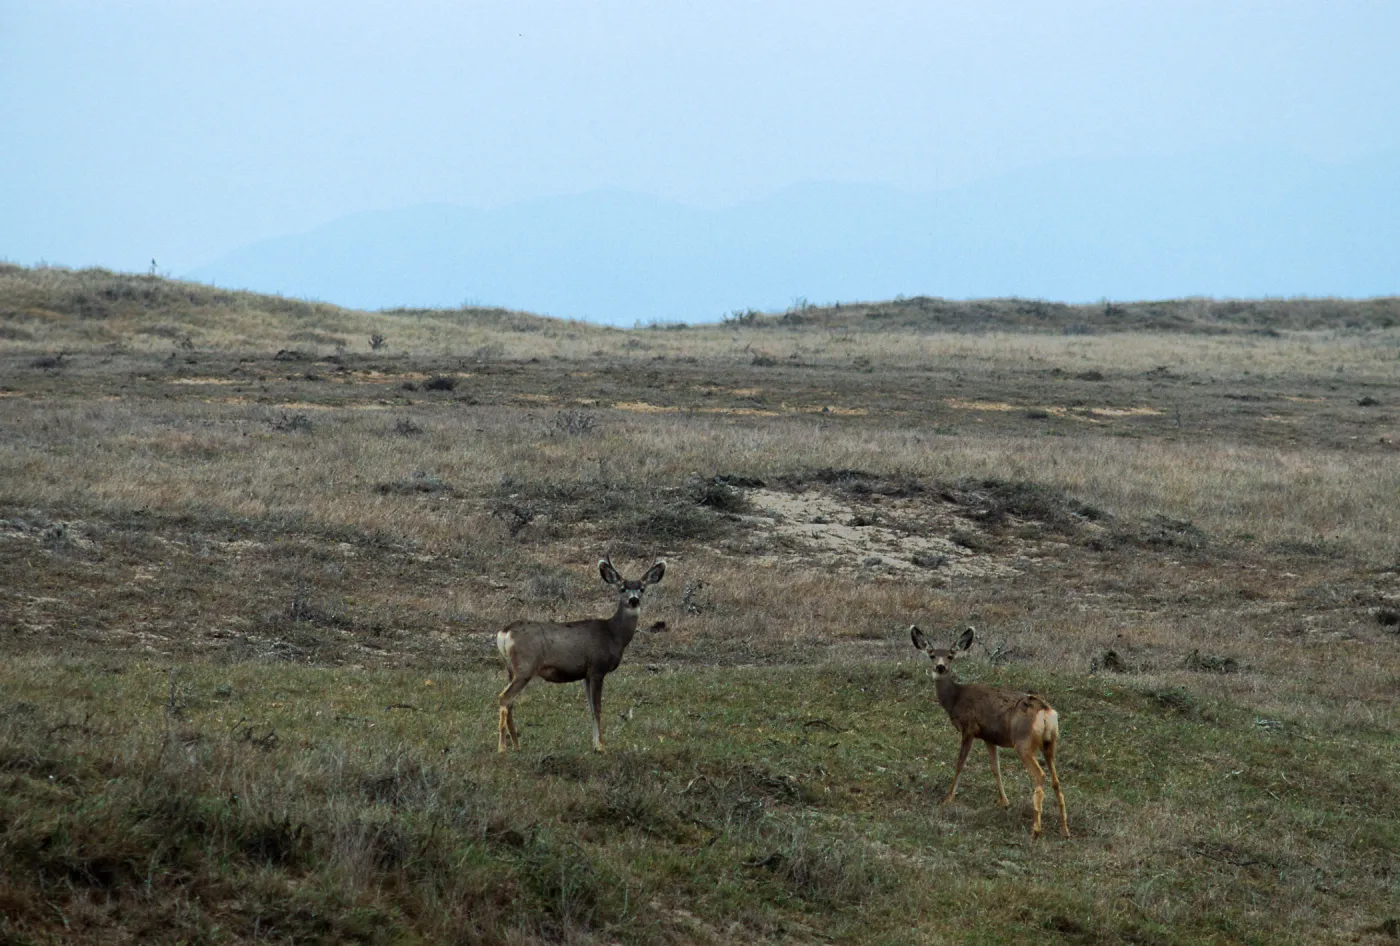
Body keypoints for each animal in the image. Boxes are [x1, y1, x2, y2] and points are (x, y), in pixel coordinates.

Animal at [496, 557, 666, 753]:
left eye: (642, 588)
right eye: (622, 588)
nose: (633, 600)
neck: (613, 635)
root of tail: (504, 632)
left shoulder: (586, 674)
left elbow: (591, 708)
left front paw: (594, 744)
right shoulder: (597, 668)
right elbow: (598, 708)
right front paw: (600, 747)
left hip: (512, 670)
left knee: (510, 702)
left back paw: (516, 745)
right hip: (526, 667)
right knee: (504, 697)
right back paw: (502, 747)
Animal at [909, 625, 1069, 839]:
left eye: (951, 656)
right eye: (932, 655)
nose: (940, 667)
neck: (955, 700)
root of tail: (1045, 712)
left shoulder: (969, 728)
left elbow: (960, 764)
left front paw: (948, 798)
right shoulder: (989, 737)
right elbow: (995, 768)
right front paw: (1004, 801)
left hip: (1024, 742)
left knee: (1041, 776)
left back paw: (1036, 829)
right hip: (1050, 743)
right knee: (1056, 780)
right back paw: (1065, 829)